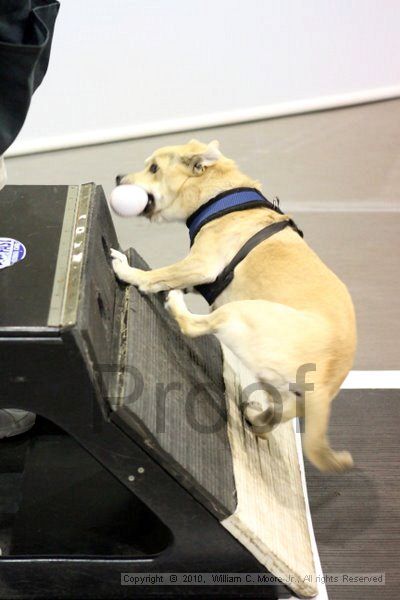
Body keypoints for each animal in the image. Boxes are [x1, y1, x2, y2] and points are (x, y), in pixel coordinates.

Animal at [111, 141, 356, 474]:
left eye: (154, 168)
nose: (118, 177)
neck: (219, 197)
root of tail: (326, 376)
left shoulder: (201, 264)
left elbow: (159, 275)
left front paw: (131, 272)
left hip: (241, 312)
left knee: (193, 325)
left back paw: (175, 304)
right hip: (281, 385)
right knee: (275, 415)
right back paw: (256, 417)